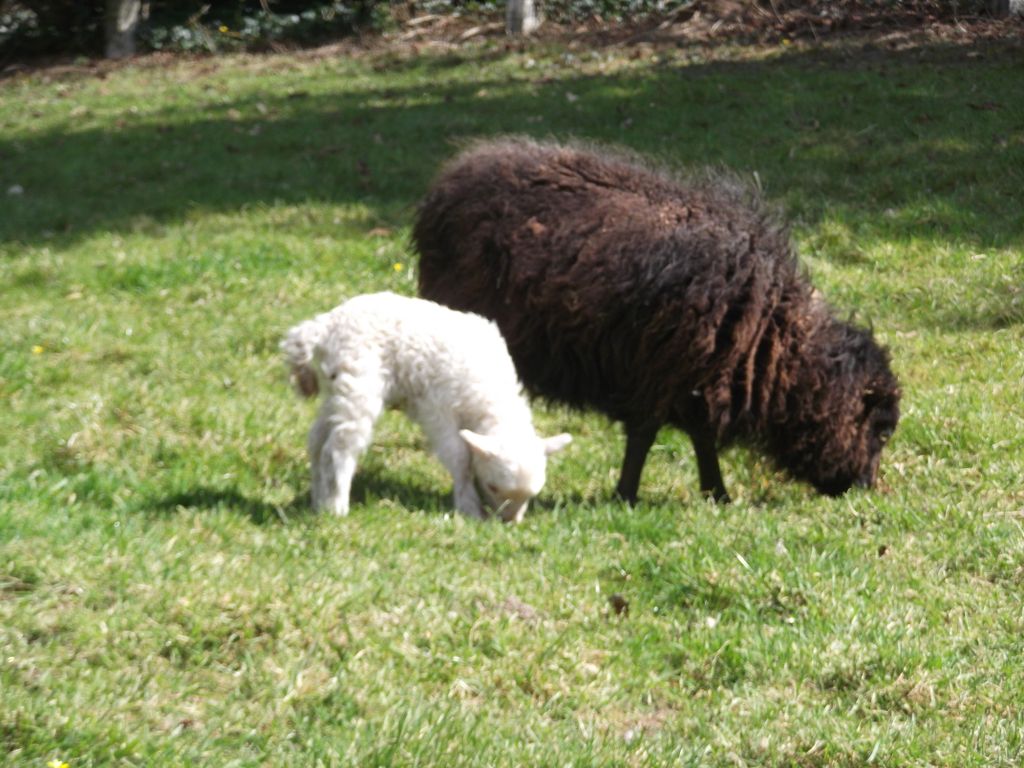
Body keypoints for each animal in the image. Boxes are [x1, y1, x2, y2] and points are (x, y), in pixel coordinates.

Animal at [281, 291, 571, 521]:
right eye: (493, 487)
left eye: (532, 495)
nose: (509, 522)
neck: (490, 400)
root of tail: (326, 324)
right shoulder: (437, 407)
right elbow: (460, 457)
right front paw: (469, 507)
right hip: (360, 381)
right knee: (338, 447)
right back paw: (337, 507)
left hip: (337, 386)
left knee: (317, 440)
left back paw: (319, 501)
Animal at [413, 138, 900, 503]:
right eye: (879, 430)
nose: (864, 488)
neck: (771, 340)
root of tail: (444, 187)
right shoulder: (659, 375)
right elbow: (645, 436)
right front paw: (627, 495)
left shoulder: (695, 382)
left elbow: (701, 438)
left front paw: (717, 494)